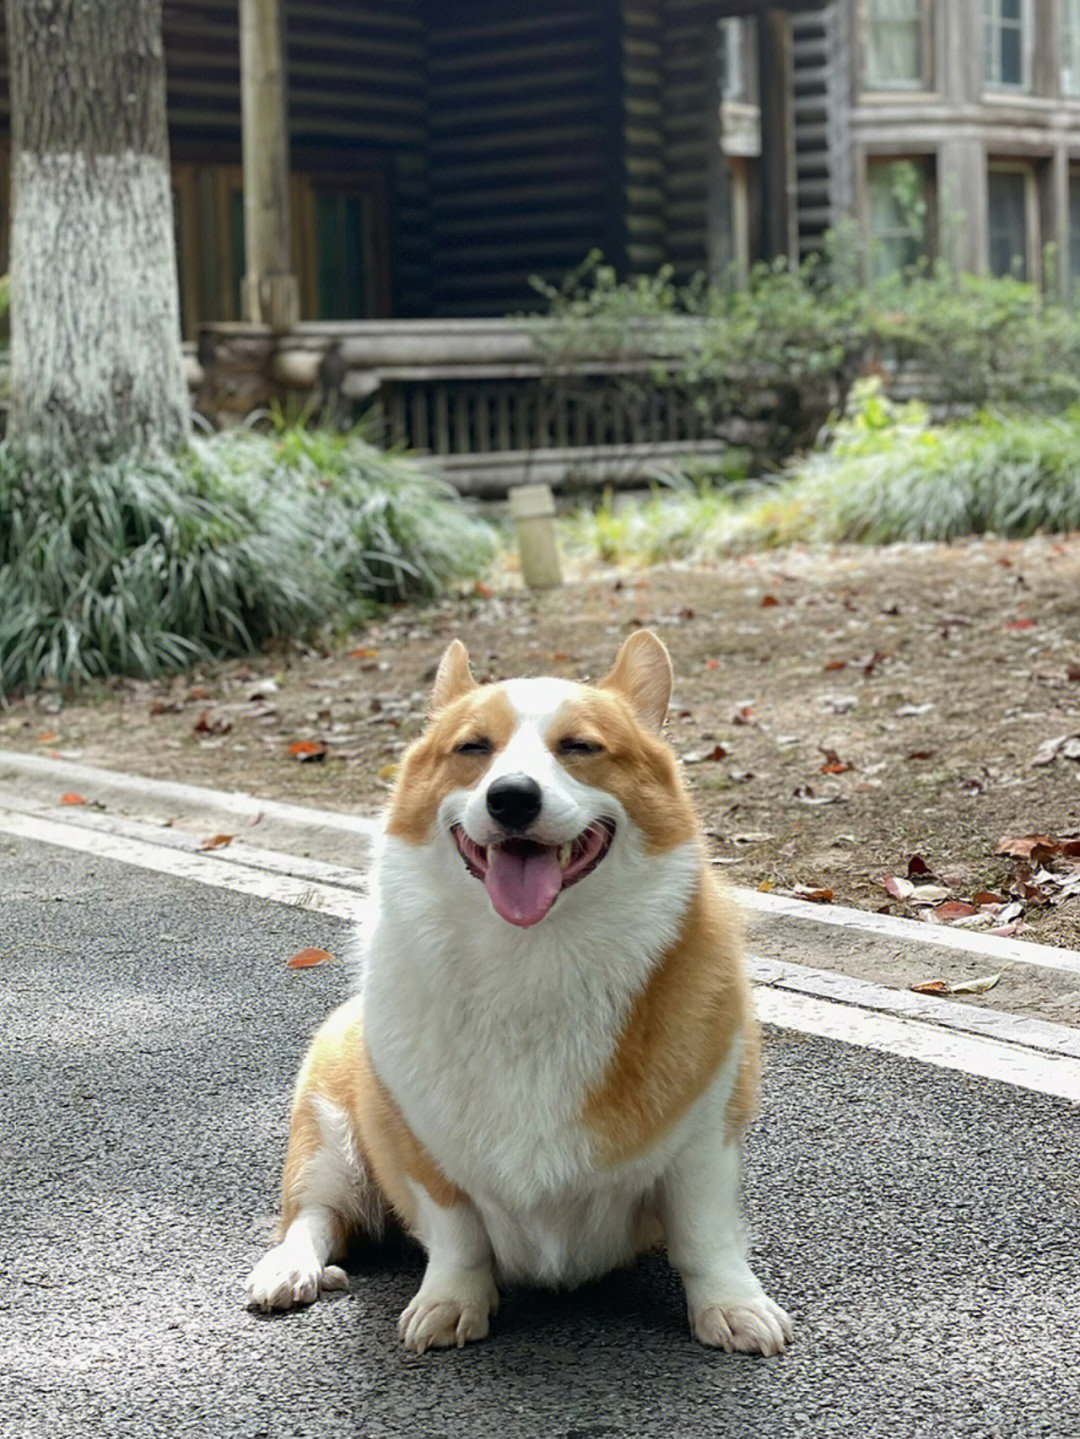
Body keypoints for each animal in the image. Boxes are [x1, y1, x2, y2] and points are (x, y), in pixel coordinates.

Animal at [244, 633, 788, 1358]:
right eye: (473, 747)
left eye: (580, 746)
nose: (510, 798)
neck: (533, 960)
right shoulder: (424, 1151)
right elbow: (458, 1236)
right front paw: (451, 1302)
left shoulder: (702, 1142)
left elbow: (706, 1237)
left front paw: (731, 1307)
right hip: (327, 1128)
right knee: (314, 1212)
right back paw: (289, 1267)